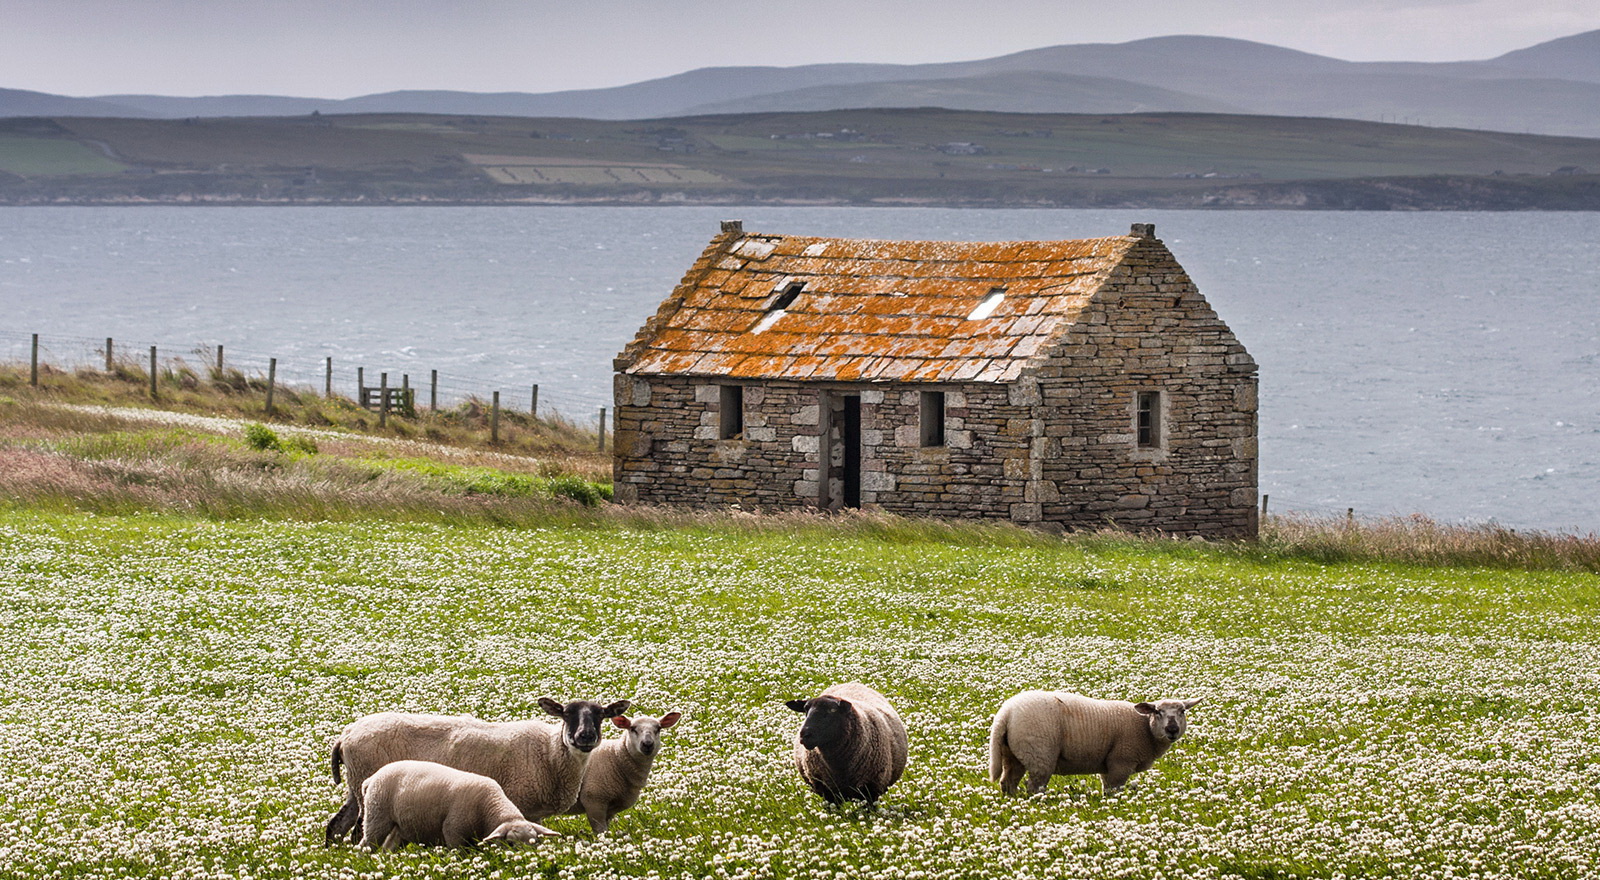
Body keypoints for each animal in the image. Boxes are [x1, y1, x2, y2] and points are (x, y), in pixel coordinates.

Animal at [361, 761, 563, 851]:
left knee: (388, 847)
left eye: (535, 842)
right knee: (366, 844)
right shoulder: (453, 831)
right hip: (377, 816)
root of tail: (372, 778)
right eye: (511, 843)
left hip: (400, 827)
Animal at [985, 691, 1203, 800]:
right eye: (1158, 712)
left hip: (1013, 753)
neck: (1145, 729)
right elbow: (1115, 790)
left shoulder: (1109, 763)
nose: (1172, 729)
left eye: (1182, 711)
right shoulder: (1121, 761)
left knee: (1008, 782)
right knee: (1034, 786)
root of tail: (1006, 713)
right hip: (1040, 754)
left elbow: (1107, 788)